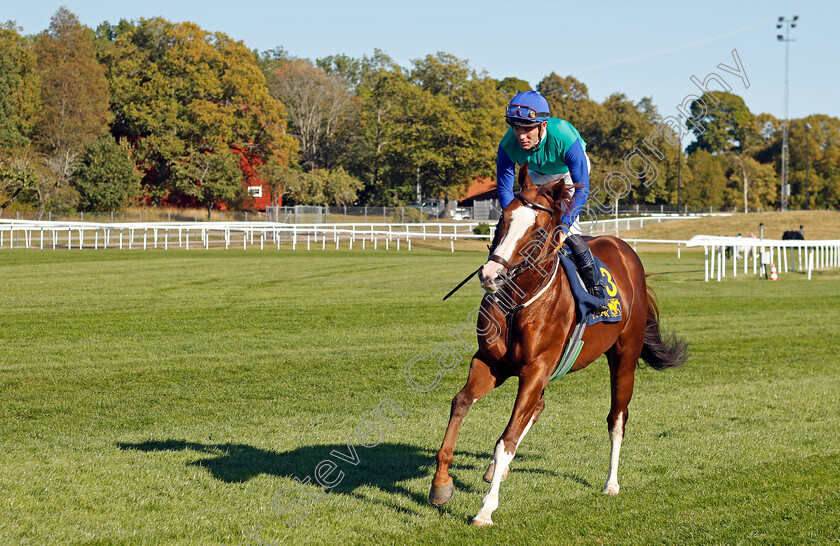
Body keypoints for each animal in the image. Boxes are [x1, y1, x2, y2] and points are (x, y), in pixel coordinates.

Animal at [430, 165, 684, 524]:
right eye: (502, 220)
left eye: (538, 232)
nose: (491, 275)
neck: (517, 302)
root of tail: (626, 250)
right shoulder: (491, 363)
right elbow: (461, 403)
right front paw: (441, 483)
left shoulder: (535, 369)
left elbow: (506, 439)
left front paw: (486, 508)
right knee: (537, 408)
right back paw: (496, 469)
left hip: (624, 356)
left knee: (617, 418)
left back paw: (611, 483)